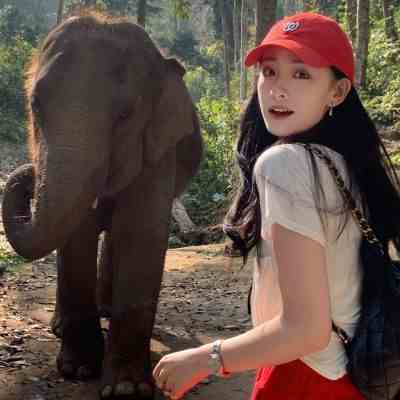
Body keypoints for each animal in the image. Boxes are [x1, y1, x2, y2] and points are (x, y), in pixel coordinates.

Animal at [1, 11, 203, 400]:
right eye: (35, 105)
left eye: (125, 115)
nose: (29, 171)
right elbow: (76, 235)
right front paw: (78, 370)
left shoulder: (158, 147)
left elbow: (141, 233)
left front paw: (126, 389)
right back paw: (61, 327)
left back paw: (106, 309)